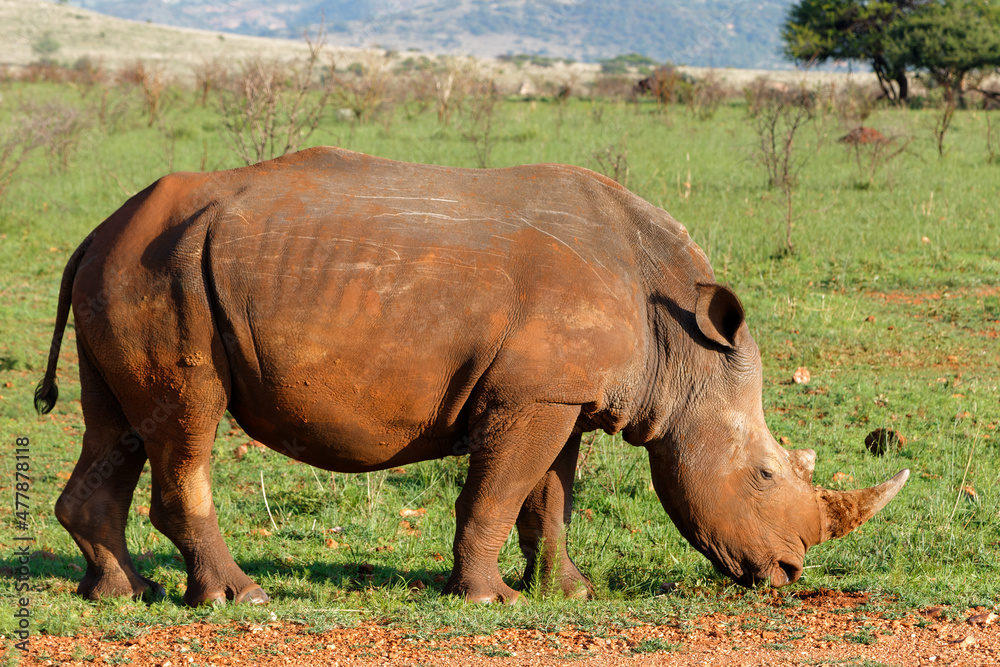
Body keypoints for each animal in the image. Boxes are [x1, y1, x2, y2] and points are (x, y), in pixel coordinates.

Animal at [36, 147, 908, 606]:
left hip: (135, 270)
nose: (790, 572)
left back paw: (120, 593)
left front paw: (568, 593)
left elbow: (549, 499)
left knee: (118, 427)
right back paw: (236, 596)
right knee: (187, 424)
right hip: (166, 279)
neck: (683, 347)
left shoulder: (559, 391)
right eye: (764, 473)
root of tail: (97, 229)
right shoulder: (531, 395)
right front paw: (492, 599)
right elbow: (497, 492)